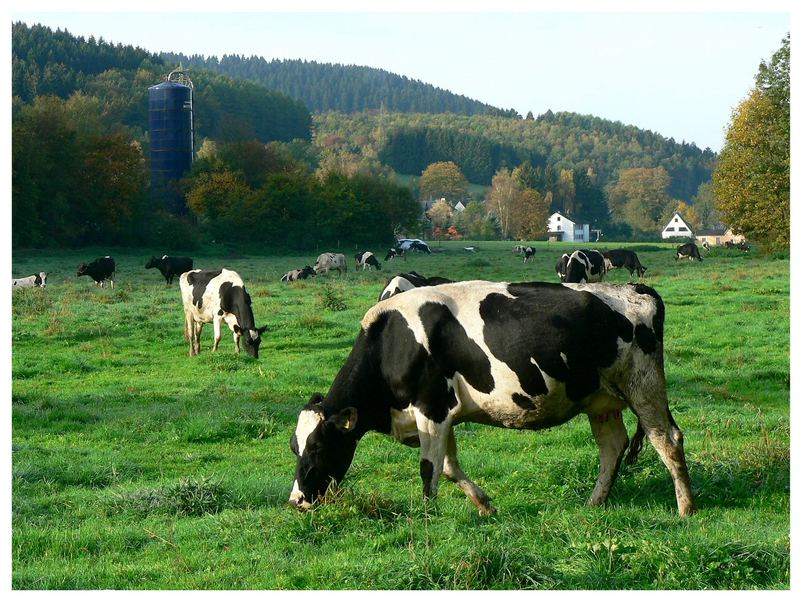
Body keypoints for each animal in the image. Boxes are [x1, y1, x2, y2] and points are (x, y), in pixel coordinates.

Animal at [290, 278, 696, 516]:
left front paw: (427, 517)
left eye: (318, 448)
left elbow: (429, 469)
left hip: (643, 386)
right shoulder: (442, 414)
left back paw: (685, 508)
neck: (390, 342)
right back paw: (594, 504)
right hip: (600, 399)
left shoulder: (431, 407)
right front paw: (484, 505)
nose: (296, 501)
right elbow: (448, 467)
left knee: (668, 439)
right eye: (295, 448)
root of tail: (636, 287)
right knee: (612, 447)